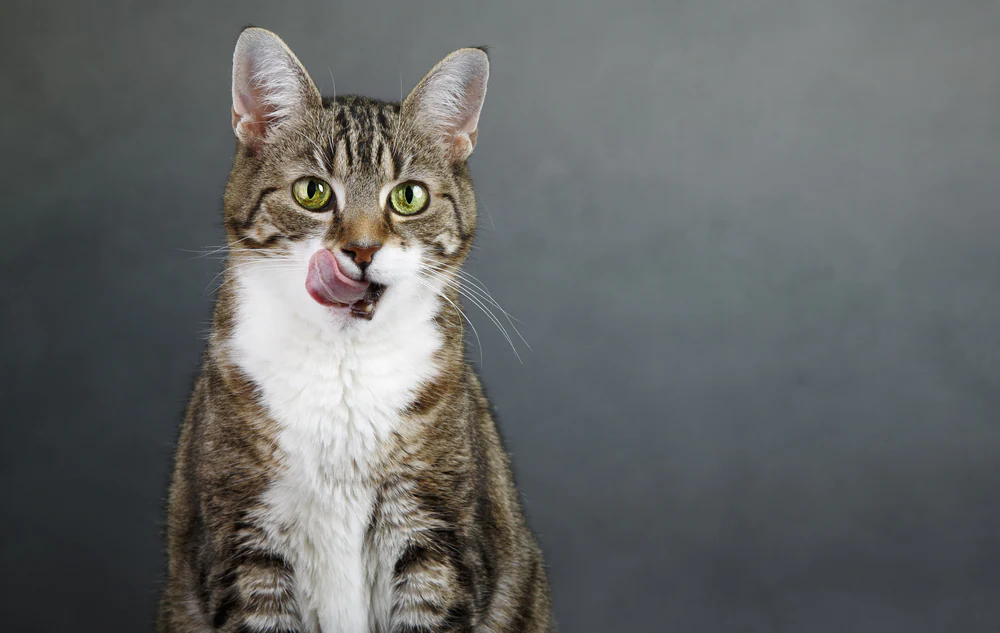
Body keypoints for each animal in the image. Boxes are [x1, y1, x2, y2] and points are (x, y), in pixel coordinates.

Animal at [158, 27, 556, 632]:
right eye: (313, 192)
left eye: (409, 196)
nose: (363, 250)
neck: (342, 366)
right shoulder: (242, 546)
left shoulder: (437, 542)